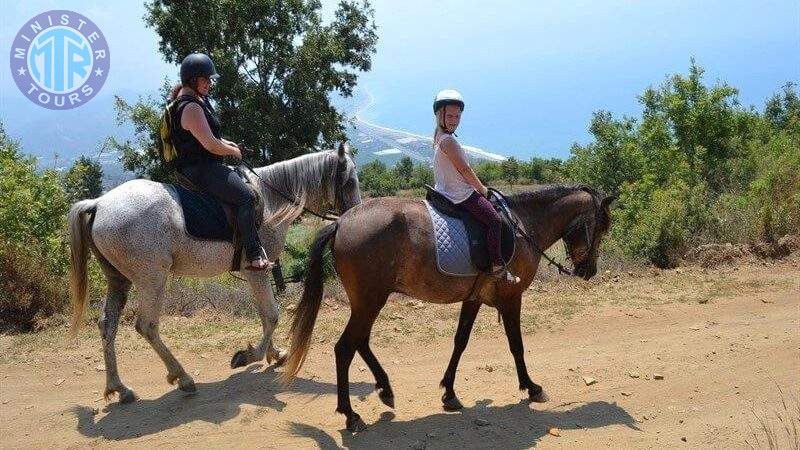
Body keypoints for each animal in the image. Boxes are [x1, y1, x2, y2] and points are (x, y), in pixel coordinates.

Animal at [69, 143, 362, 400]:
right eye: (348, 181)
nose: (356, 215)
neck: (270, 202)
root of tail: (99, 204)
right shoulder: (258, 271)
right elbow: (272, 315)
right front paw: (249, 356)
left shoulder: (254, 274)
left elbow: (265, 313)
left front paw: (274, 353)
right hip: (152, 279)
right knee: (147, 326)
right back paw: (183, 377)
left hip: (119, 280)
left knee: (108, 325)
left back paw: (119, 388)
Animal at [280, 185, 612, 430]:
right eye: (601, 228)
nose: (590, 271)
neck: (521, 226)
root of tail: (340, 222)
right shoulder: (511, 297)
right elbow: (516, 344)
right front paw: (531, 387)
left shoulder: (474, 298)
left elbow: (460, 342)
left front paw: (449, 393)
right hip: (370, 301)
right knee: (345, 348)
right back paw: (350, 414)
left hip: (368, 303)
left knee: (360, 342)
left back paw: (385, 389)